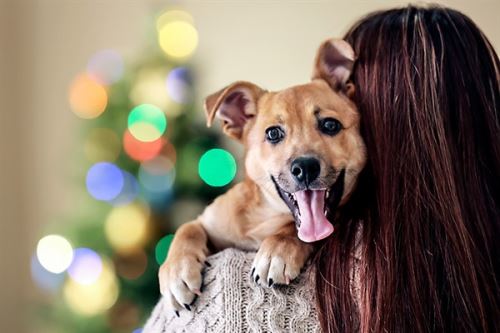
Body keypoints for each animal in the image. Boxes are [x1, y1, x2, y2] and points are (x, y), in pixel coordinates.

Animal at [158, 39, 366, 314]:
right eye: (273, 133)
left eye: (330, 125)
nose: (305, 168)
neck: (265, 215)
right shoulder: (208, 222)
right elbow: (186, 229)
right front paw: (177, 272)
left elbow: (292, 230)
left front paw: (277, 251)